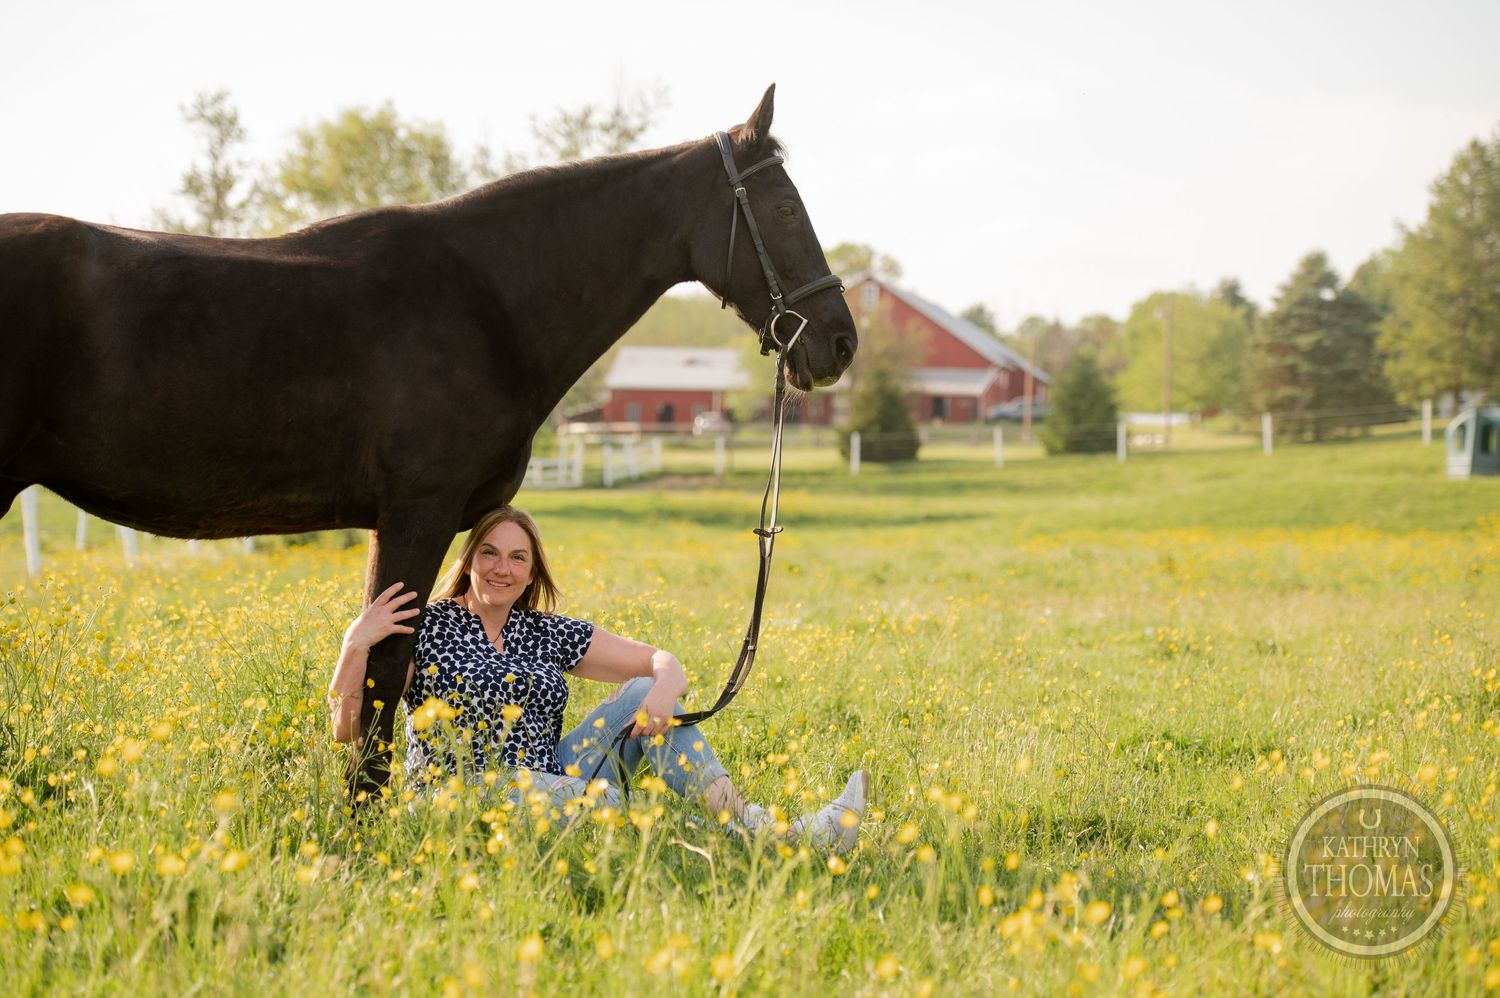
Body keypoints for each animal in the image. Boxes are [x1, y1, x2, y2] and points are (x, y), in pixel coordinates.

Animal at [0, 84, 856, 798]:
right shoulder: (416, 510)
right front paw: (360, 828)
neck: (485, 300)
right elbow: (383, 668)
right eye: (785, 208)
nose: (840, 342)